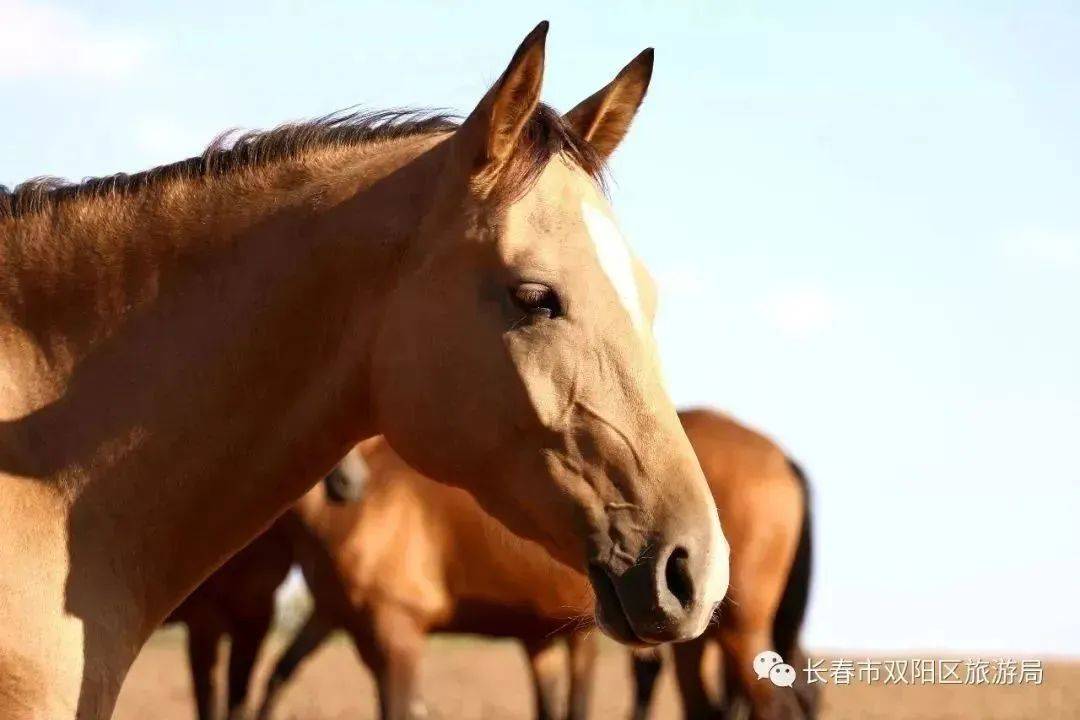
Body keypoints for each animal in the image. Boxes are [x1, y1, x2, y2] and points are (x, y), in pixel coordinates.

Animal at [252, 408, 812, 720]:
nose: (349, 484)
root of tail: (782, 457)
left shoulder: (397, 630)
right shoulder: (334, 618)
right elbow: (278, 675)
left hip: (739, 629)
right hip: (697, 641)